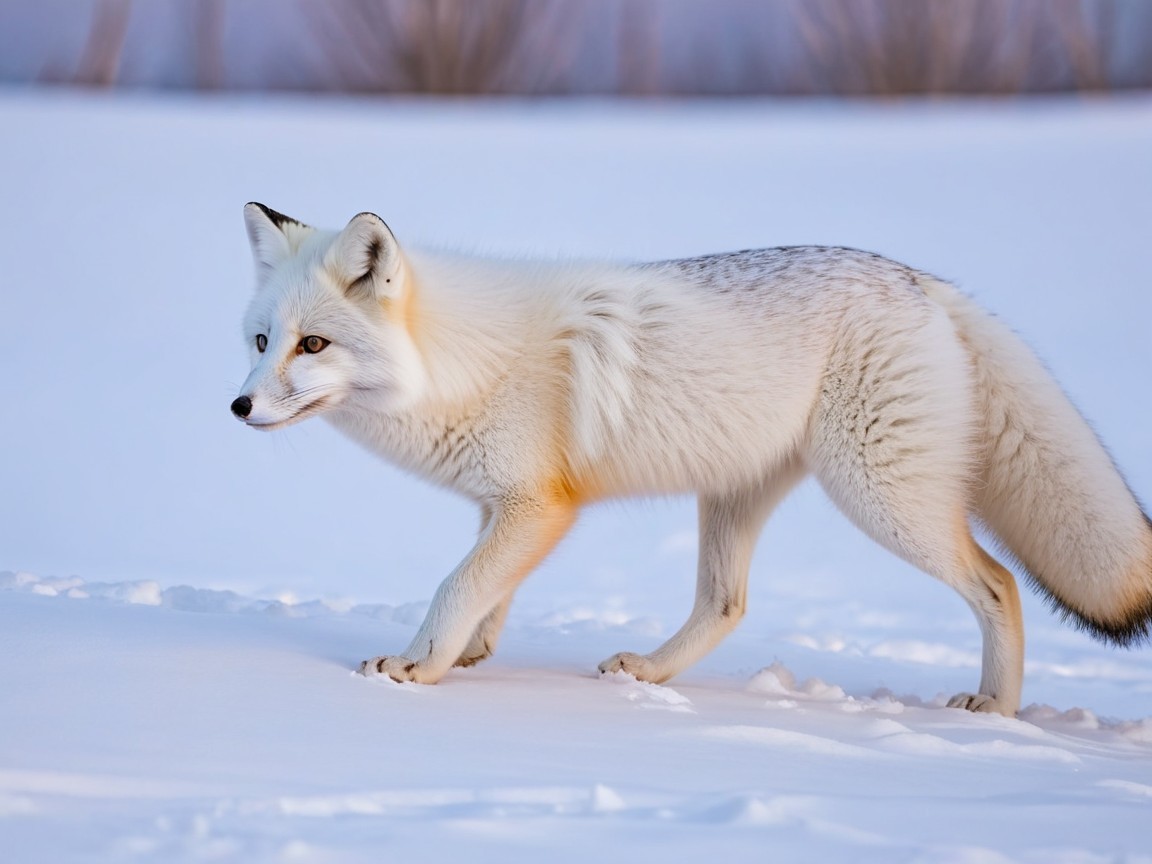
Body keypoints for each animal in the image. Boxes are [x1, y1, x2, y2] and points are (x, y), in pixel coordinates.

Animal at [231, 202, 1152, 716]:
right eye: (262, 342)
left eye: (313, 346)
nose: (237, 408)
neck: (460, 361)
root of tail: (920, 280)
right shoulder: (510, 508)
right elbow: (486, 594)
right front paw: (465, 656)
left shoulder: (539, 506)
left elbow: (456, 586)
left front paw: (416, 669)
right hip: (737, 499)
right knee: (727, 605)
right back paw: (647, 674)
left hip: (883, 498)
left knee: (999, 585)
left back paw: (994, 709)